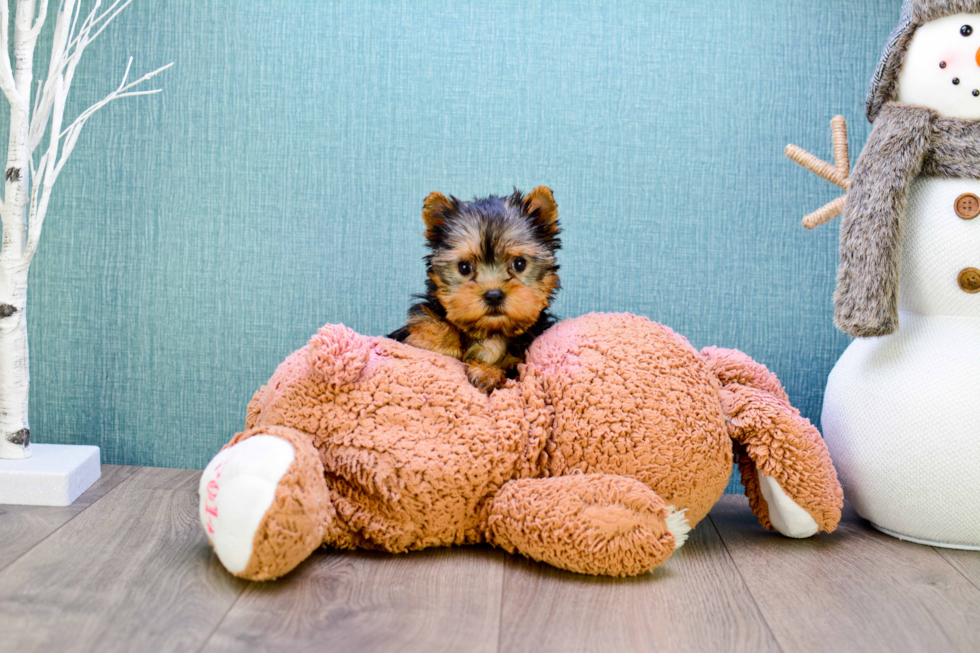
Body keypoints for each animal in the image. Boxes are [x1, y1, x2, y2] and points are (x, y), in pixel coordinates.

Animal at [388, 186, 560, 394]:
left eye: (519, 264)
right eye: (464, 267)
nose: (493, 295)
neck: (490, 332)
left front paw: (487, 371)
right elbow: (430, 322)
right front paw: (434, 341)